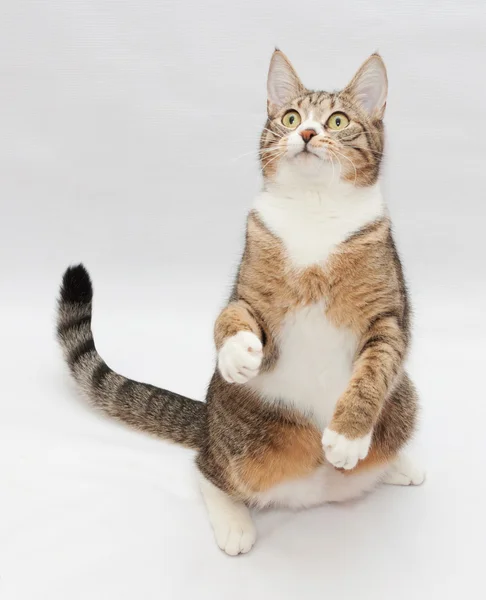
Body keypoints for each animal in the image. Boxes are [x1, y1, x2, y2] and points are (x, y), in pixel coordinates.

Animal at [55, 50, 424, 556]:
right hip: (246, 450)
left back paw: (395, 466)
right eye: (290, 118)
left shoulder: (388, 314)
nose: (306, 134)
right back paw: (234, 521)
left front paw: (348, 436)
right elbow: (230, 315)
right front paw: (236, 353)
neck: (313, 208)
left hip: (404, 403)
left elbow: (376, 368)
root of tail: (207, 424)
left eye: (337, 120)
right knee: (207, 471)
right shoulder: (248, 289)